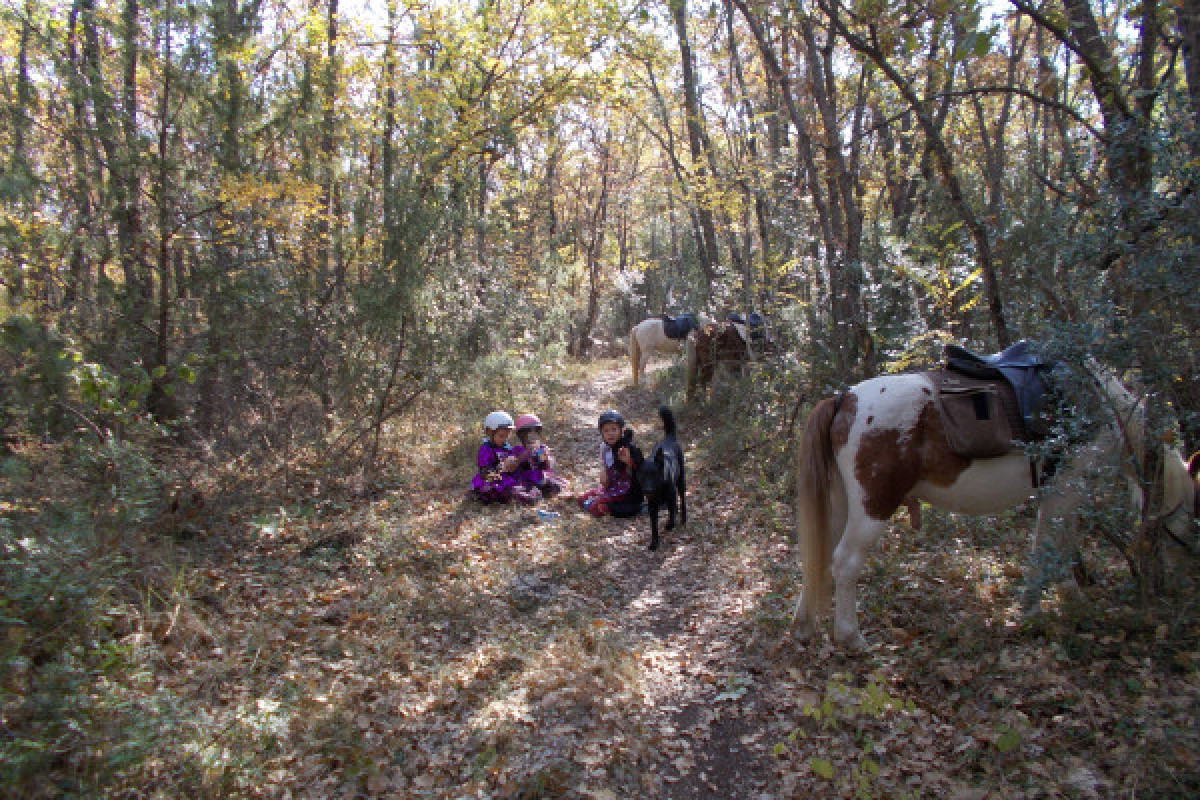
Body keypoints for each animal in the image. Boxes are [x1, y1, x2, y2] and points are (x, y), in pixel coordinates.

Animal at [793, 363, 1200, 651]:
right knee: (845, 562)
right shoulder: (1068, 487)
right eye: (1191, 525)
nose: (1182, 590)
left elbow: (1054, 542)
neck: (1106, 409)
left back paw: (804, 624)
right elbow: (1054, 543)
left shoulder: (1055, 492)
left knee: (820, 555)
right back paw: (850, 636)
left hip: (840, 504)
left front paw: (1062, 598)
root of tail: (845, 399)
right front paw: (1043, 607)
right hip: (874, 507)